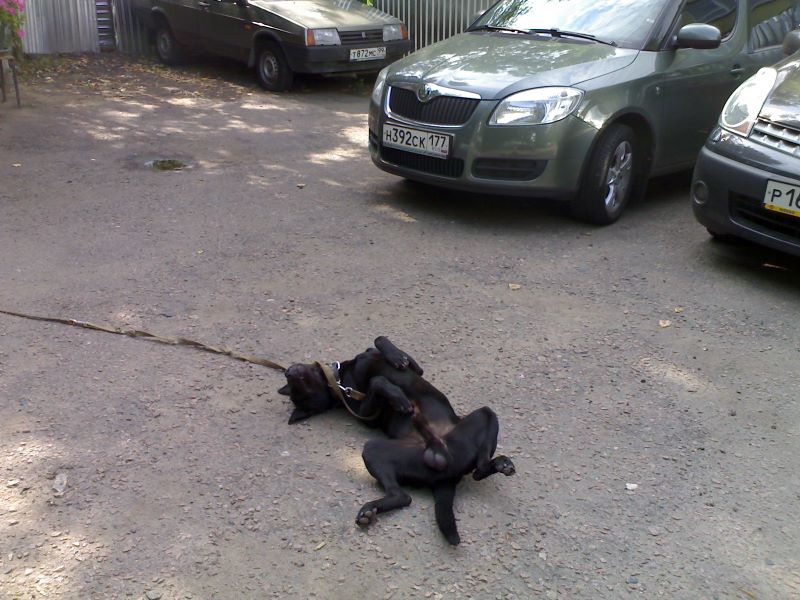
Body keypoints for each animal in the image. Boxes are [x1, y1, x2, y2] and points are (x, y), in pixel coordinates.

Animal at [277, 336, 515, 545]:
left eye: (300, 383)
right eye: (302, 390)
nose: (288, 372)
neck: (339, 381)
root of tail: (446, 464)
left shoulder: (414, 369)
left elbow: (381, 341)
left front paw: (395, 356)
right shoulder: (365, 412)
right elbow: (377, 381)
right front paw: (397, 396)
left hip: (485, 414)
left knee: (480, 468)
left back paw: (500, 464)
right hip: (374, 450)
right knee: (403, 496)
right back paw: (369, 511)